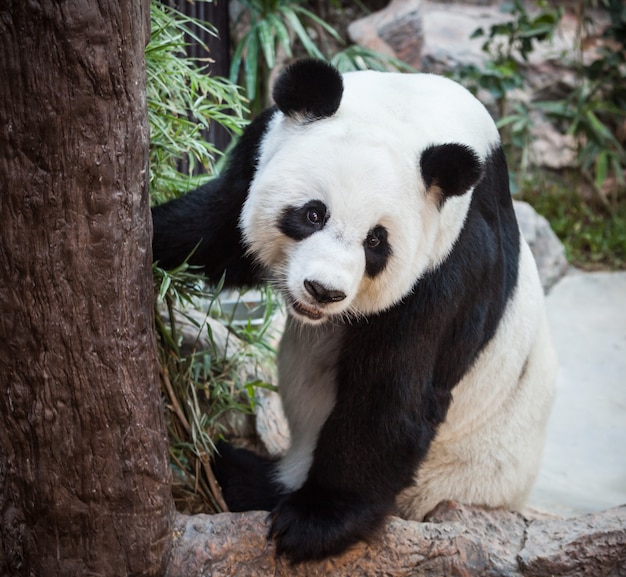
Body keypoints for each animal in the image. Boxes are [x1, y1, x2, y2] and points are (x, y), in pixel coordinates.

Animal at [152, 58, 556, 564]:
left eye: (376, 241)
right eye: (312, 214)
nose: (323, 291)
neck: (408, 109)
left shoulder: (453, 261)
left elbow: (393, 394)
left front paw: (312, 524)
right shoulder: (259, 154)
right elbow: (217, 231)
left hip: (449, 480)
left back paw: (240, 472)